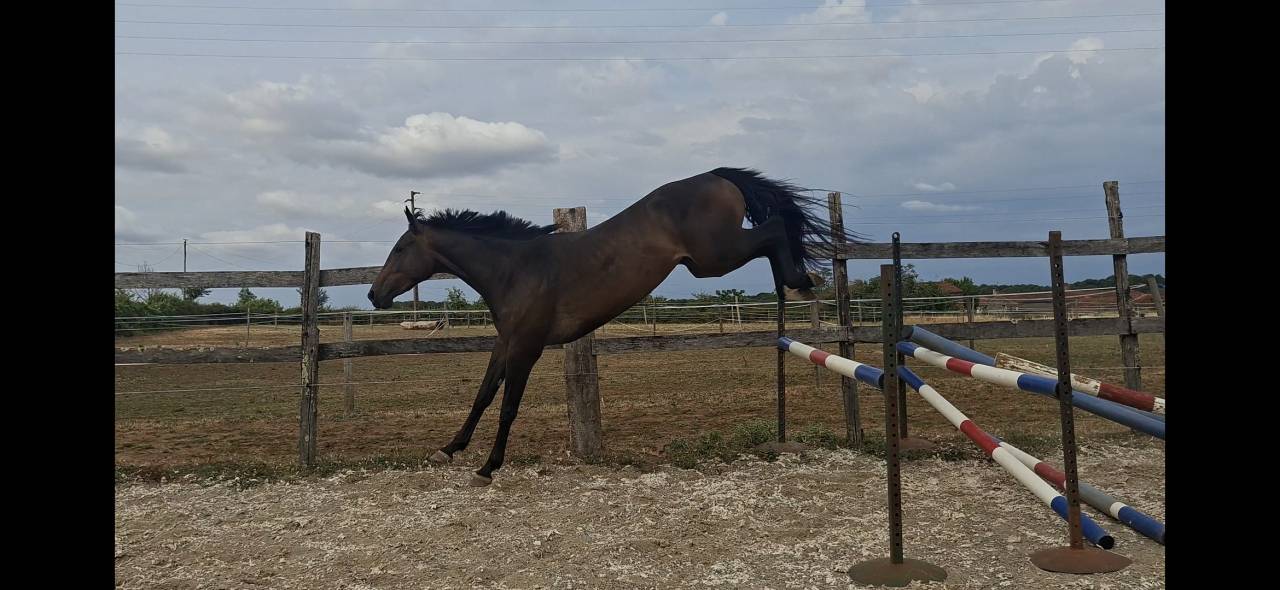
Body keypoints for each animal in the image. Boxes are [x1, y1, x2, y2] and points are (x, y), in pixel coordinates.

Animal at [368, 168, 855, 486]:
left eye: (398, 249)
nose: (374, 295)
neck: (515, 269)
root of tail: (716, 176)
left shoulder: (527, 347)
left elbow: (508, 406)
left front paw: (488, 468)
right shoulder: (505, 343)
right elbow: (483, 396)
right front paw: (449, 449)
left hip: (714, 256)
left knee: (773, 228)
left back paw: (799, 281)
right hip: (711, 260)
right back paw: (793, 282)